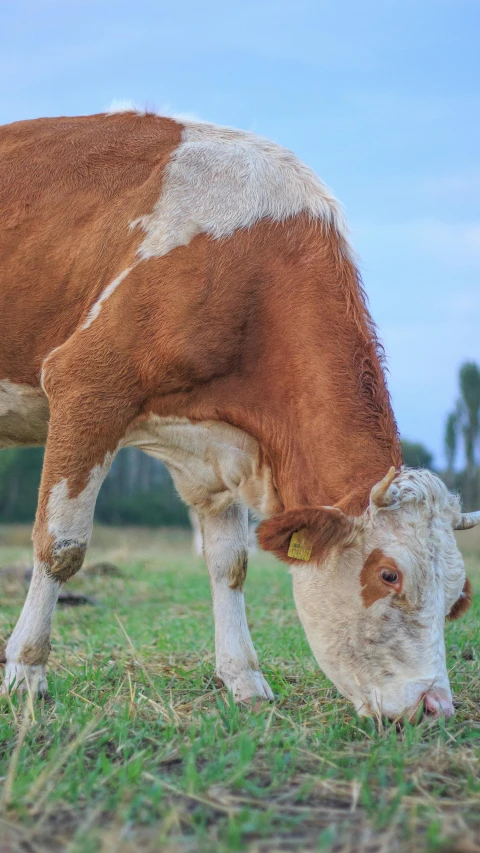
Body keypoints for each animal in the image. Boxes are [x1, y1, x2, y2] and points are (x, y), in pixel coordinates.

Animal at [0, 108, 480, 720]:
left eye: (457, 598)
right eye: (388, 574)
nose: (435, 705)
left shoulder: (216, 451)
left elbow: (229, 563)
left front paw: (243, 679)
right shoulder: (86, 385)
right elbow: (61, 546)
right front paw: (26, 671)